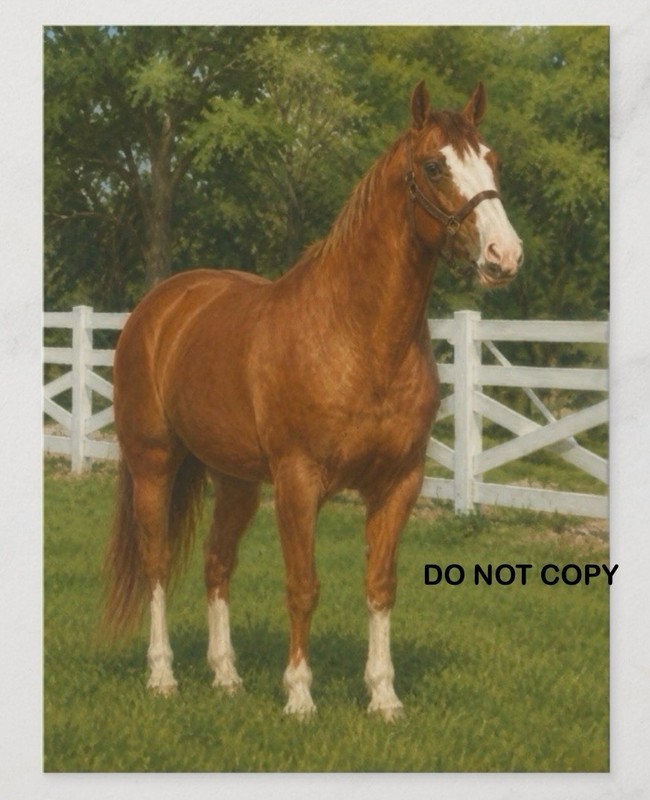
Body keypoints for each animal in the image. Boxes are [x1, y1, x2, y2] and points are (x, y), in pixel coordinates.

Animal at [103, 80, 522, 721]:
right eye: (434, 165)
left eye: (492, 160)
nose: (504, 255)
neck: (357, 335)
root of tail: (161, 306)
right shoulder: (299, 483)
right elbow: (303, 587)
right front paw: (300, 696)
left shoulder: (398, 483)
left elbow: (380, 587)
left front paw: (384, 697)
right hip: (154, 463)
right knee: (156, 564)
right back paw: (163, 676)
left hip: (236, 482)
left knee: (216, 564)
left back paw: (226, 677)